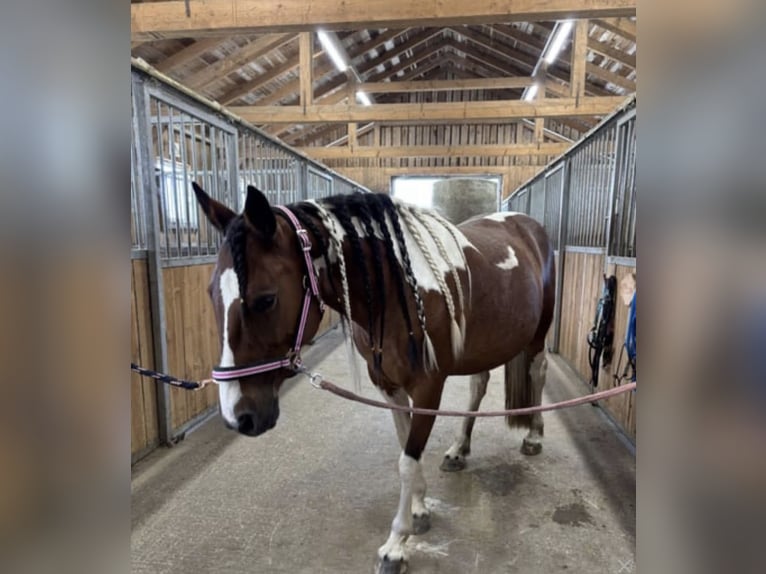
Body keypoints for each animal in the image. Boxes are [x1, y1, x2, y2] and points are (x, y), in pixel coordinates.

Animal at [191, 182, 555, 574]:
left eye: (266, 299)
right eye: (211, 293)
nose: (238, 417)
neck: (397, 291)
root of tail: (525, 225)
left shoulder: (428, 389)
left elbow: (407, 460)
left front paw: (396, 544)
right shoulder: (388, 385)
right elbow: (405, 445)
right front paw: (419, 508)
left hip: (538, 336)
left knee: (537, 373)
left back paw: (534, 435)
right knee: (479, 385)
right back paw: (459, 449)